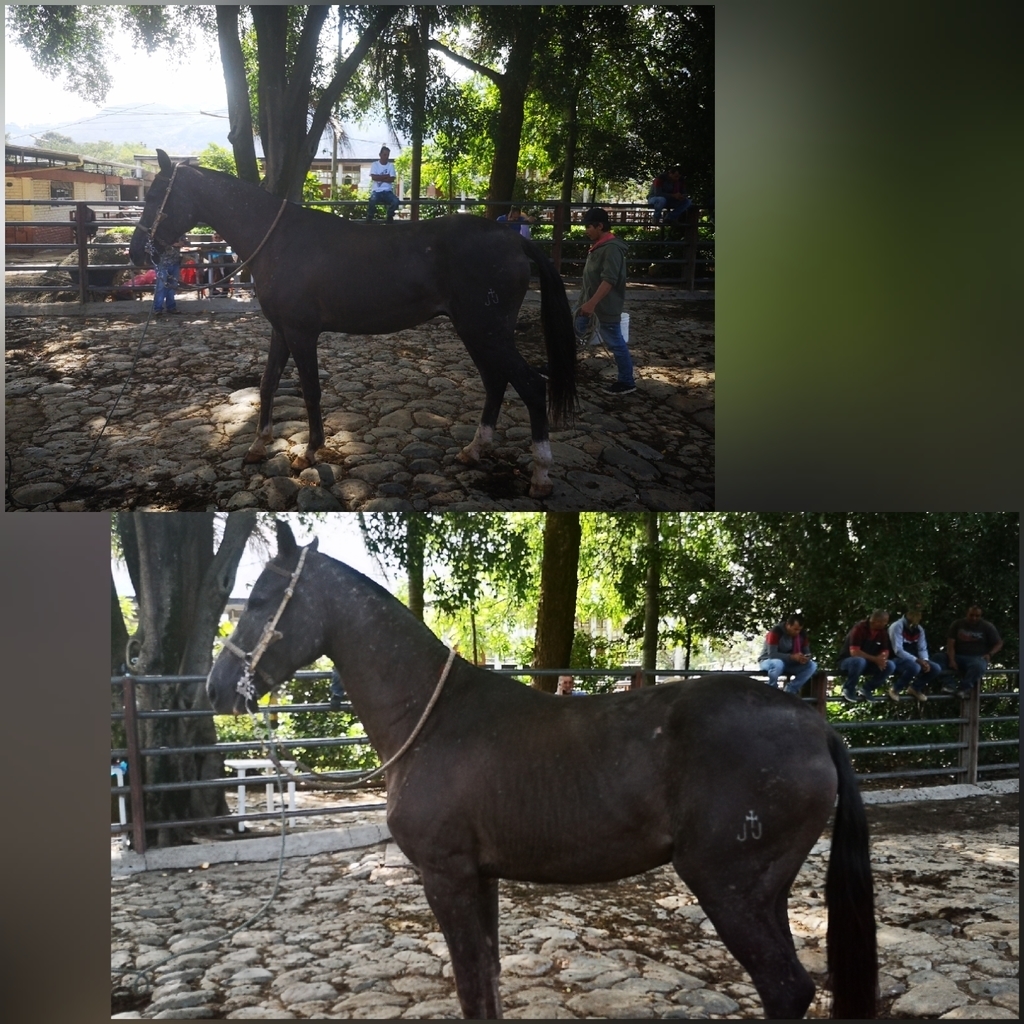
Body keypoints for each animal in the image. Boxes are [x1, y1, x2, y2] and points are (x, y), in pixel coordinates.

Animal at [127, 150, 577, 498]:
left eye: (157, 195)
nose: (134, 252)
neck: (280, 239)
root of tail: (514, 238)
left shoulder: (302, 333)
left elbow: (310, 391)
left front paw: (310, 452)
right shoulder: (281, 330)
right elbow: (268, 383)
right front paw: (258, 445)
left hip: (487, 331)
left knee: (531, 385)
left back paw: (540, 475)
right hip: (477, 333)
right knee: (496, 382)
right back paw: (473, 451)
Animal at [206, 521, 878, 1019]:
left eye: (261, 600)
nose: (216, 689)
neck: (432, 716)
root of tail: (813, 724)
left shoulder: (446, 876)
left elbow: (472, 985)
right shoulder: (479, 877)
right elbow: (488, 979)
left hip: (728, 886)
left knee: (785, 989)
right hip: (765, 894)